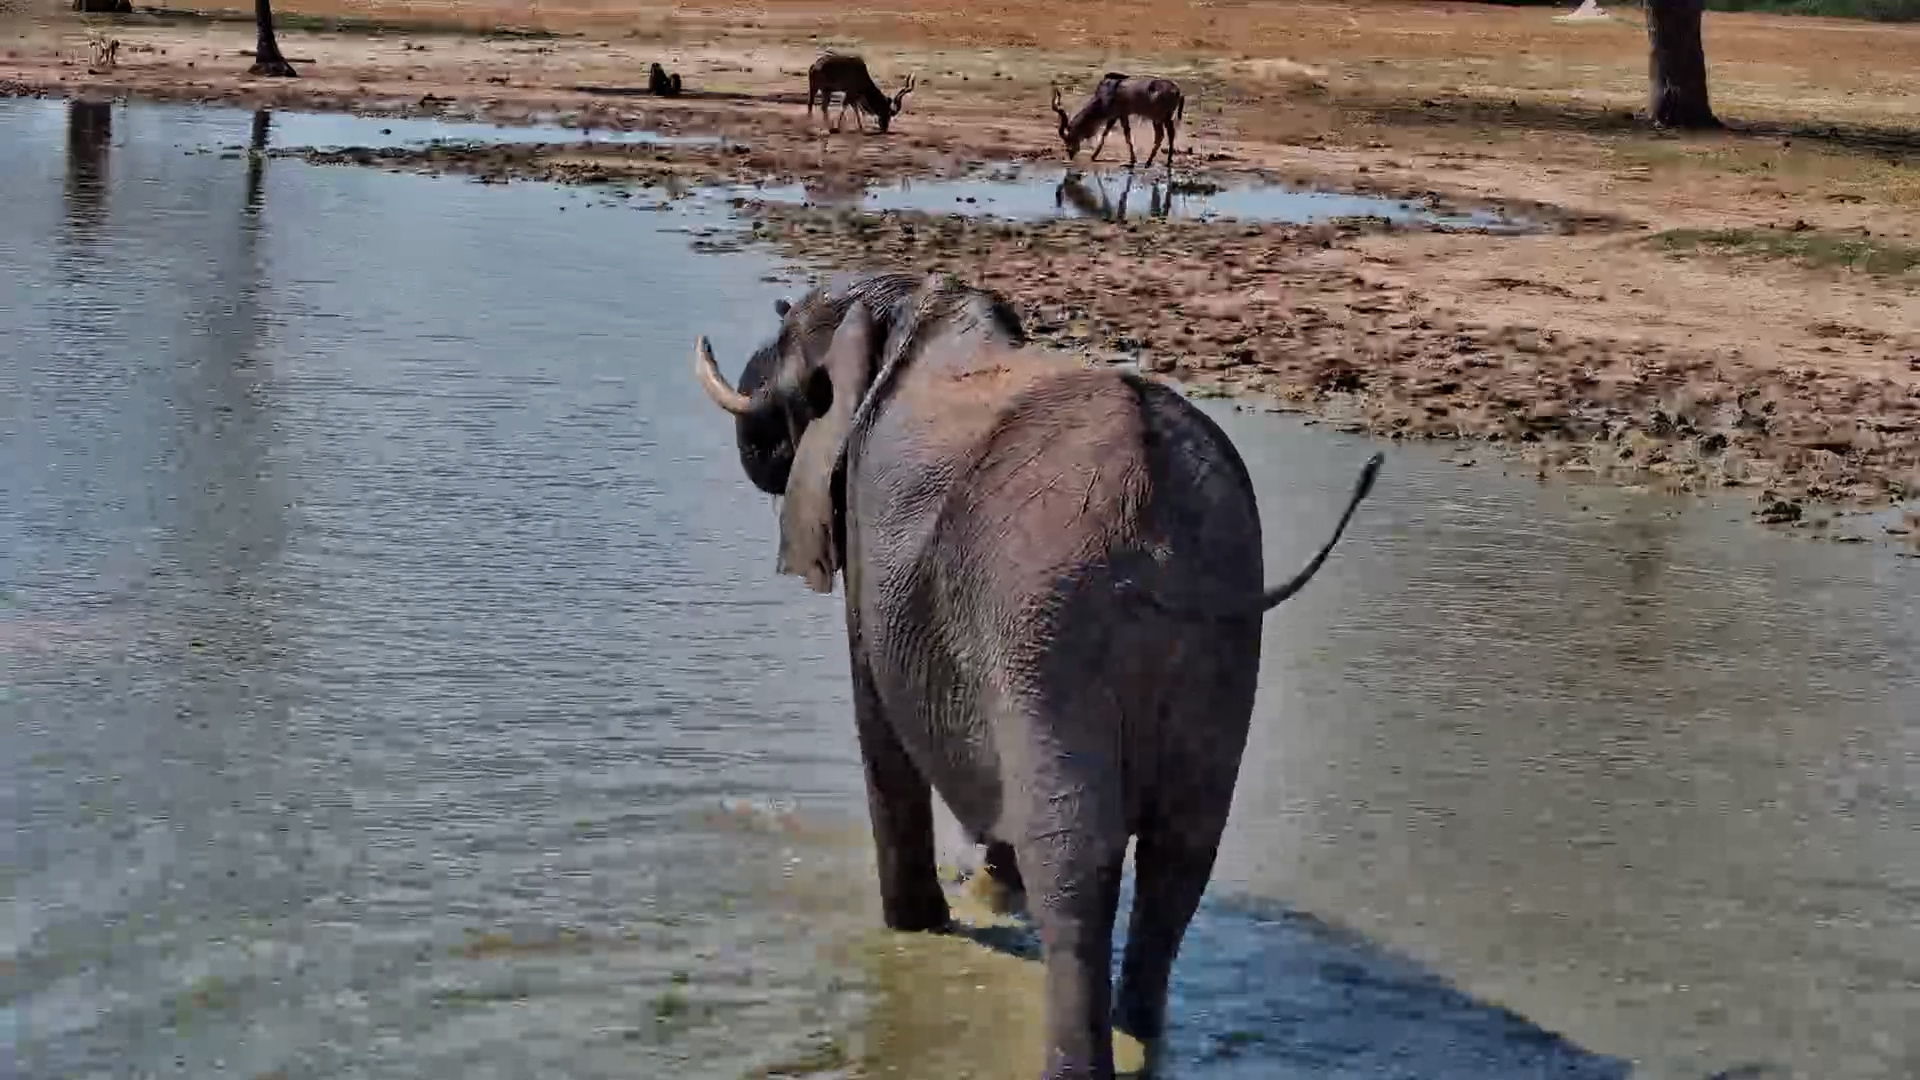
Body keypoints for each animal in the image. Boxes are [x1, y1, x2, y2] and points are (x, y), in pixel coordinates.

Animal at [693, 271, 1380, 1080]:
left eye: (792, 337)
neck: (908, 305)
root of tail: (1160, 528)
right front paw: (984, 896)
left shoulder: (866, 536)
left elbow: (882, 736)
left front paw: (920, 927)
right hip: (1219, 632)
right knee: (1180, 856)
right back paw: (1140, 1035)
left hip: (1050, 617)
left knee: (1077, 863)